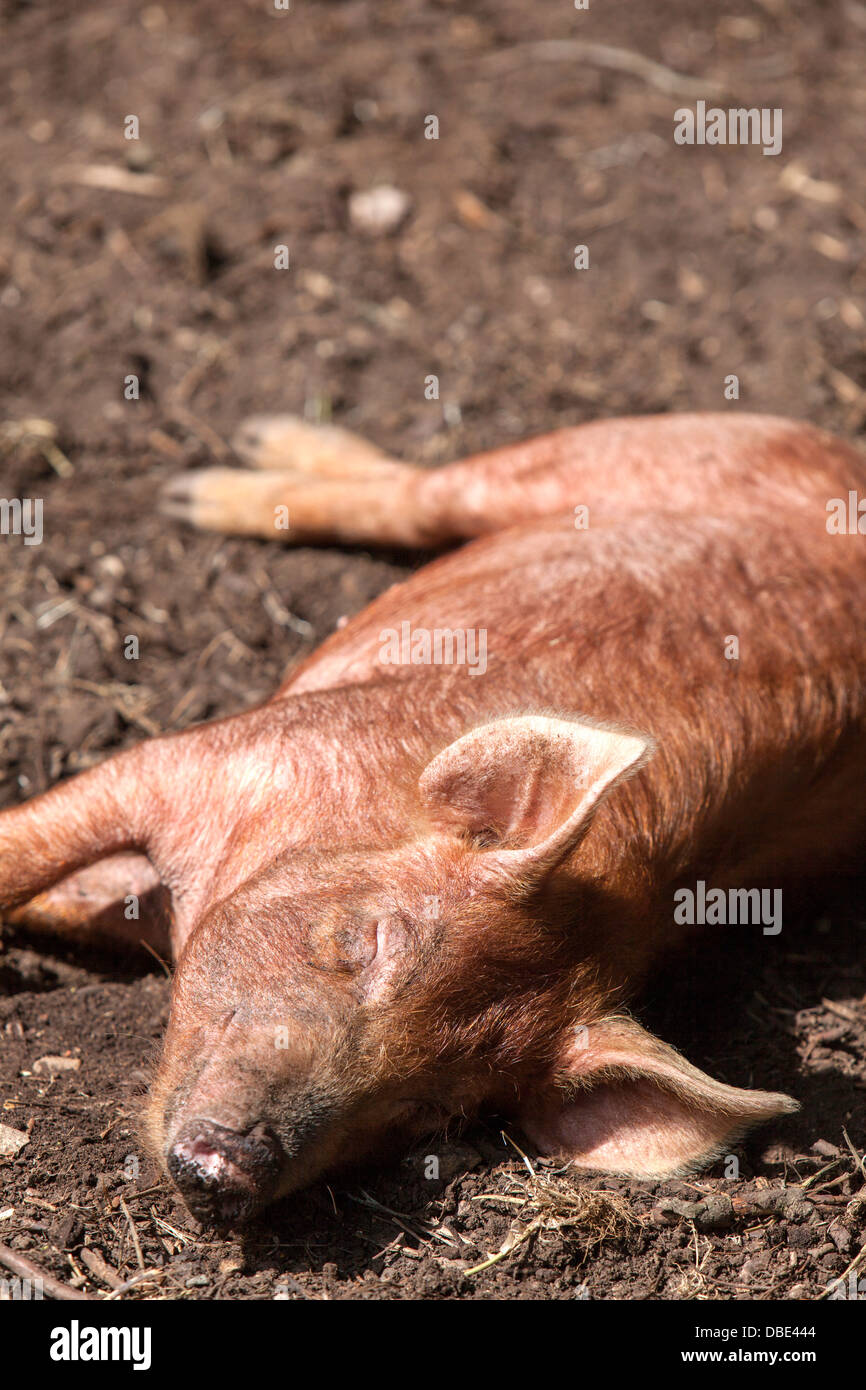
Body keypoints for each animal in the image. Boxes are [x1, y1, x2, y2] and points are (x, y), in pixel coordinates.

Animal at [2, 411, 865, 1226]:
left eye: (430, 1108)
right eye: (365, 941)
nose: (229, 1166)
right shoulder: (203, 757)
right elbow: (31, 847)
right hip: (633, 451)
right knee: (422, 494)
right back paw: (210, 480)